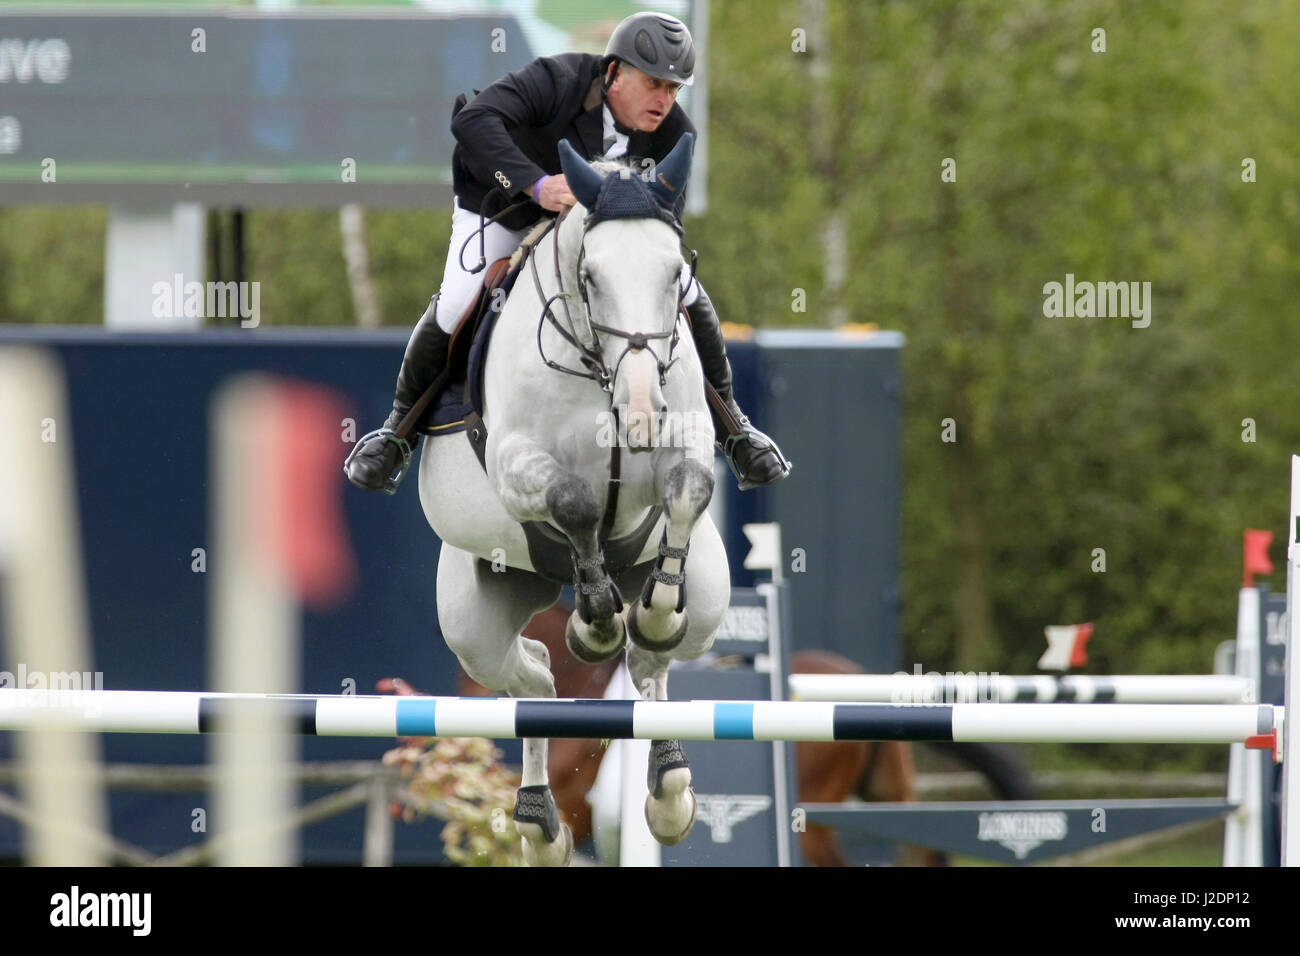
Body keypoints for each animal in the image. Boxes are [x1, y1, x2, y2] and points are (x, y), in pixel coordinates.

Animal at [413, 134, 728, 868]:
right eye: (591, 277)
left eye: (676, 275)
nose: (640, 409)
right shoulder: (515, 462)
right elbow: (577, 502)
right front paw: (594, 624)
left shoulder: (686, 443)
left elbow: (686, 488)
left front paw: (645, 616)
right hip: (473, 621)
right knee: (530, 678)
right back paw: (538, 821)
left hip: (709, 594)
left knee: (649, 663)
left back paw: (668, 788)